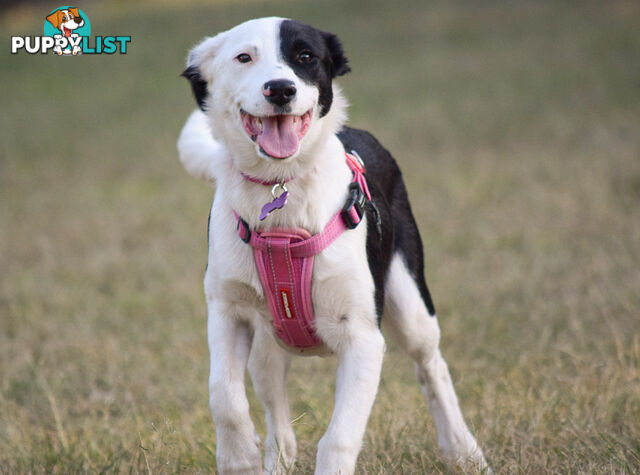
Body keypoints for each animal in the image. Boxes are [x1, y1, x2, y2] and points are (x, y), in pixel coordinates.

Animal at [178, 16, 488, 474]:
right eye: (244, 57)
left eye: (306, 56)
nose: (280, 89)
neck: (281, 189)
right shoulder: (227, 310)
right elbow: (224, 397)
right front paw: (239, 458)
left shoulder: (363, 339)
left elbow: (339, 437)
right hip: (267, 346)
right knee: (276, 410)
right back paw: (276, 458)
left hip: (409, 302)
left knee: (432, 365)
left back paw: (464, 450)